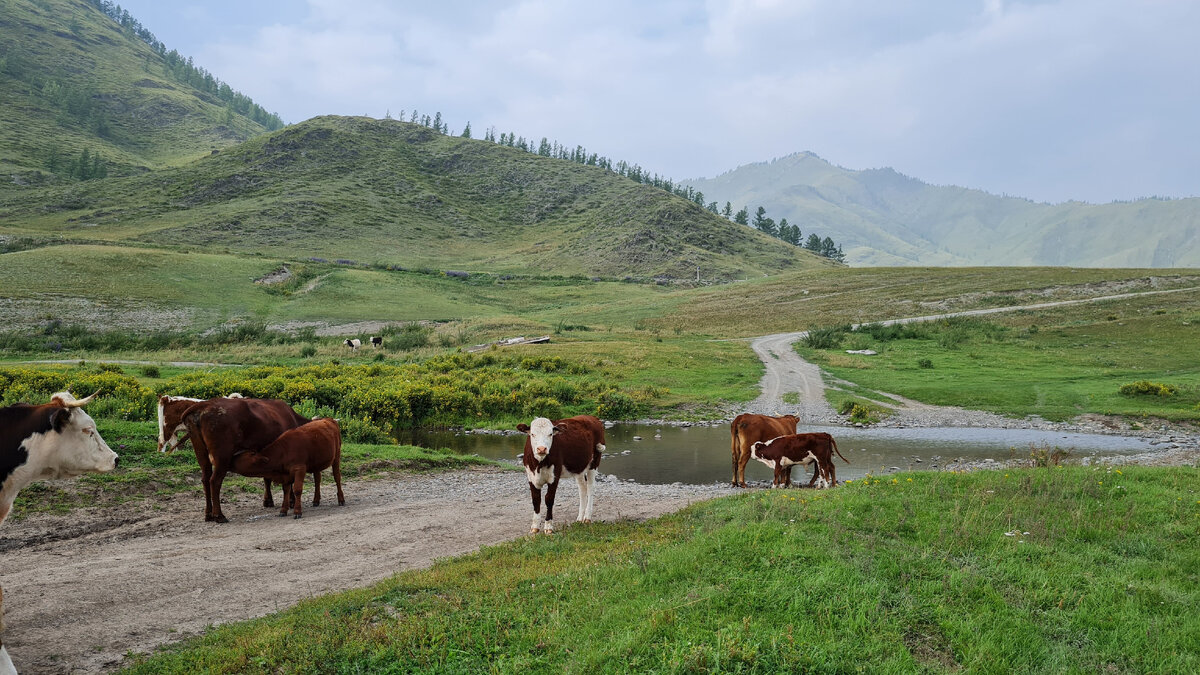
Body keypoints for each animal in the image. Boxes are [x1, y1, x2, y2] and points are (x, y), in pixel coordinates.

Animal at [178, 393, 312, 521]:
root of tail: (204, 405)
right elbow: (288, 480)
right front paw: (291, 501)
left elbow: (267, 478)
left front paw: (268, 501)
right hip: (222, 457)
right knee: (215, 481)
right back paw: (219, 515)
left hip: (201, 453)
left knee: (205, 479)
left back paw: (208, 514)